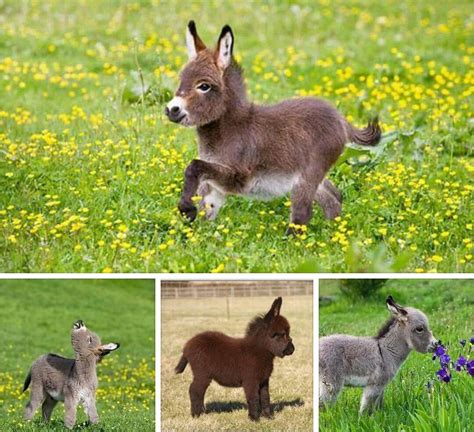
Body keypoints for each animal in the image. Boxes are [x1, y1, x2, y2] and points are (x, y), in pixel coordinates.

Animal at [167, 22, 382, 235]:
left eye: (204, 86)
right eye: (181, 80)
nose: (171, 110)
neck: (228, 129)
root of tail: (340, 118)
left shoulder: (238, 177)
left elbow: (194, 166)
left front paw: (186, 209)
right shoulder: (215, 182)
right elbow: (208, 205)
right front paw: (198, 231)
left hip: (308, 175)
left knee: (303, 213)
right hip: (314, 177)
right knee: (333, 197)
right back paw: (334, 234)